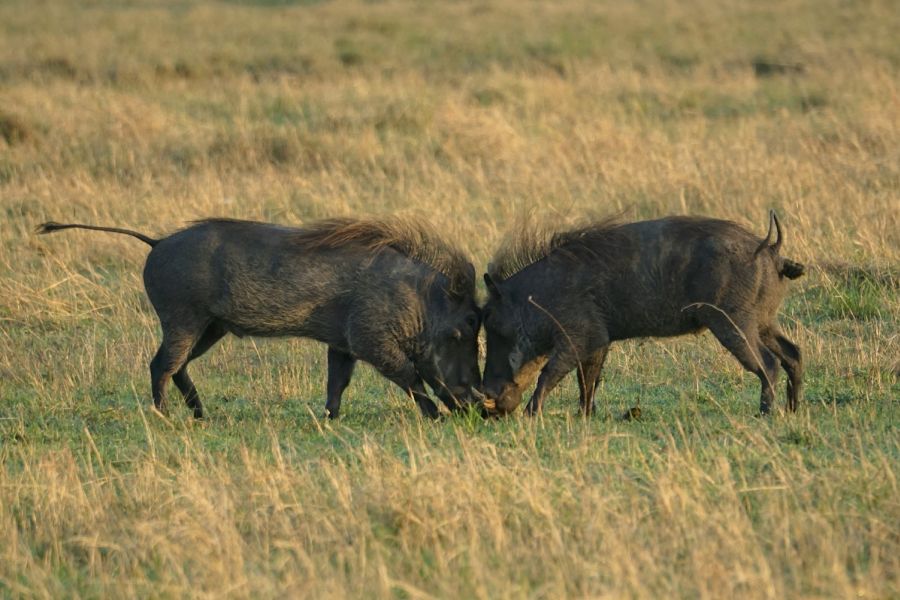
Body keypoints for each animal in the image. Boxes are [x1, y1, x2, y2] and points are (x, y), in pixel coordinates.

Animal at [37, 217, 481, 420]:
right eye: (464, 330)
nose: (481, 407)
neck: (419, 300)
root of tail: (157, 241)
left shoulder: (342, 344)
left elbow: (337, 383)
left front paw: (330, 420)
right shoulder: (370, 339)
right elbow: (410, 376)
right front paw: (434, 416)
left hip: (209, 328)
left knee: (178, 366)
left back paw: (201, 415)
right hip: (183, 318)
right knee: (161, 365)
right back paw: (164, 417)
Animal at [480, 211, 805, 417]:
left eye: (492, 322)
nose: (486, 405)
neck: (535, 298)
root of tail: (770, 250)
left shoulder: (580, 336)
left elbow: (549, 373)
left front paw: (531, 415)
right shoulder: (598, 341)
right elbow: (588, 381)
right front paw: (586, 416)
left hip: (733, 323)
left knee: (769, 363)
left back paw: (765, 414)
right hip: (763, 321)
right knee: (792, 354)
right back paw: (792, 409)